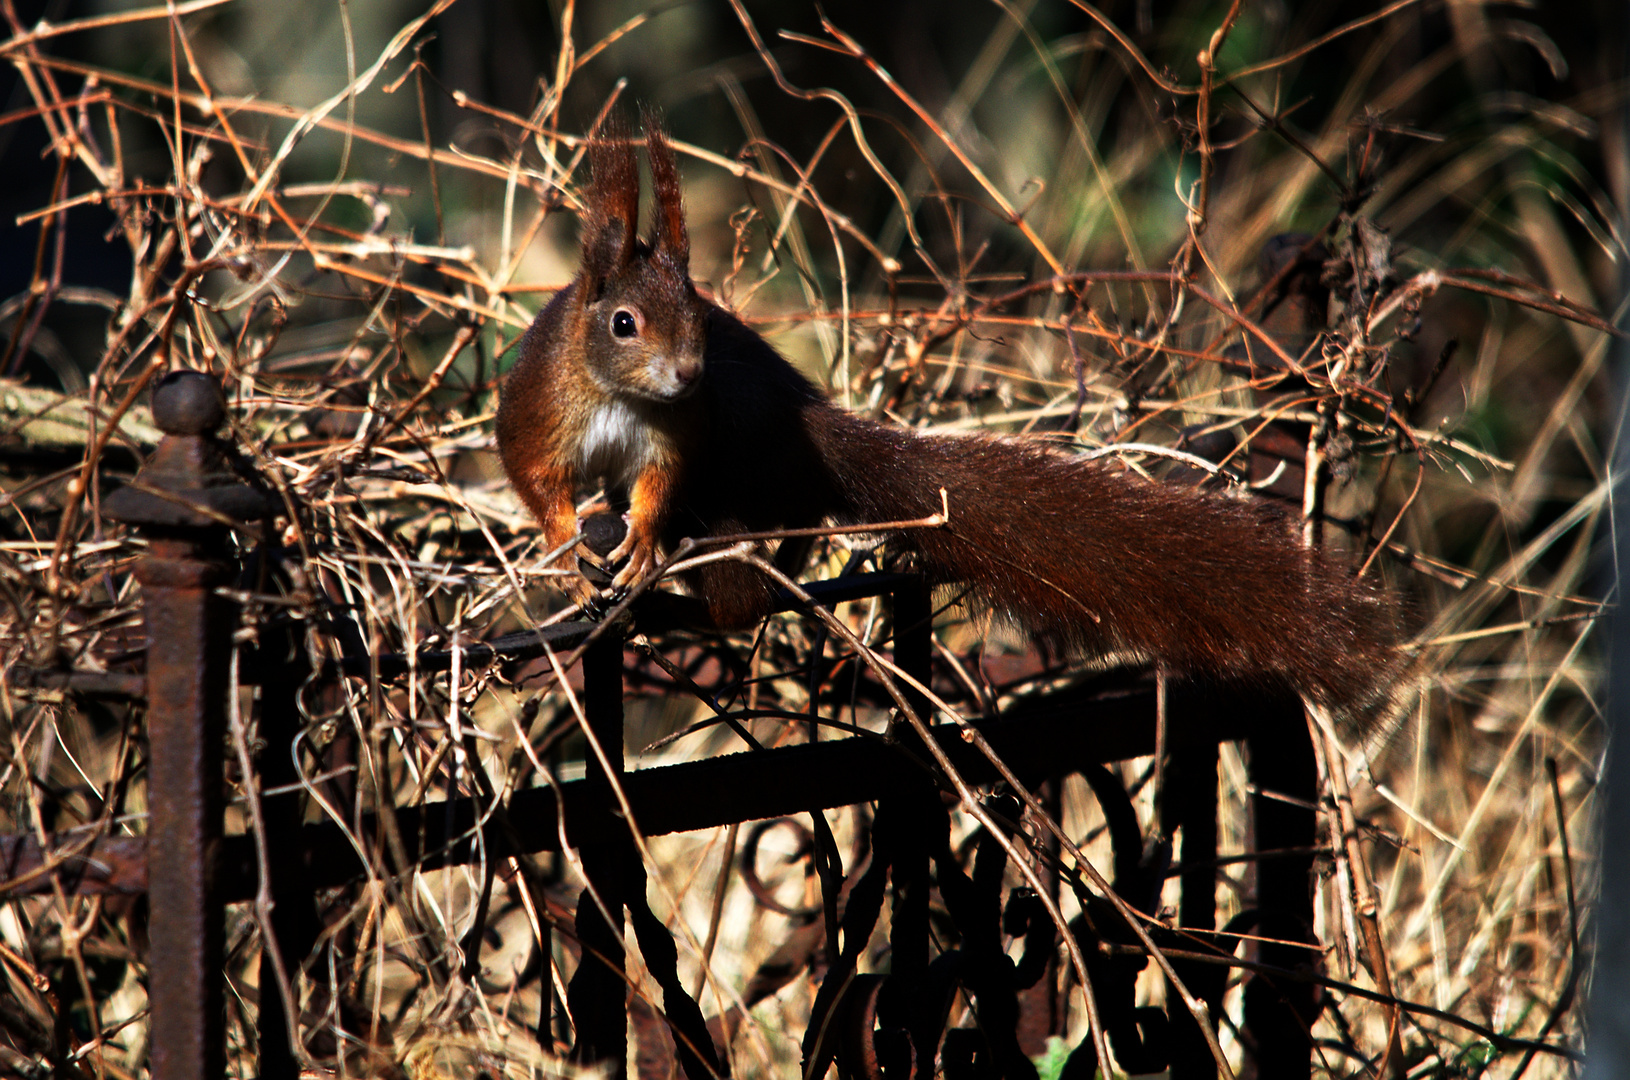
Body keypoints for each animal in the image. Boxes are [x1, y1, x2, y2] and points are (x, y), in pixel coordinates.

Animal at [489, 122, 1395, 710]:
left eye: (700, 315)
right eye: (623, 323)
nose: (688, 373)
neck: (622, 397)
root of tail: (814, 431)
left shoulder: (680, 431)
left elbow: (660, 482)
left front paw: (640, 538)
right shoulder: (543, 409)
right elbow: (535, 478)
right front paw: (566, 546)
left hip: (740, 480)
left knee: (743, 582)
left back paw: (691, 589)